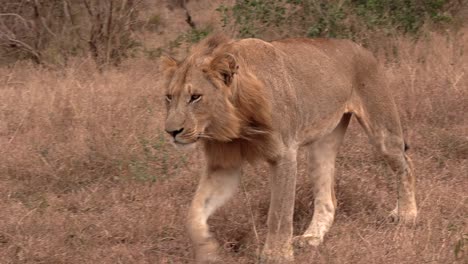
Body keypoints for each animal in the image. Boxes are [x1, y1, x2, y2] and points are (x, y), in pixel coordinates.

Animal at [161, 34, 416, 262]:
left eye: (195, 97)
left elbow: (279, 213)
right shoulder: (224, 166)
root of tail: (361, 47)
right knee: (328, 198)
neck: (235, 122)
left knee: (406, 165)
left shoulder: (284, 155)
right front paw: (207, 251)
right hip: (322, 145)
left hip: (382, 130)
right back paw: (311, 238)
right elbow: (194, 213)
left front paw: (277, 255)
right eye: (169, 97)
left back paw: (407, 215)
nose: (171, 131)